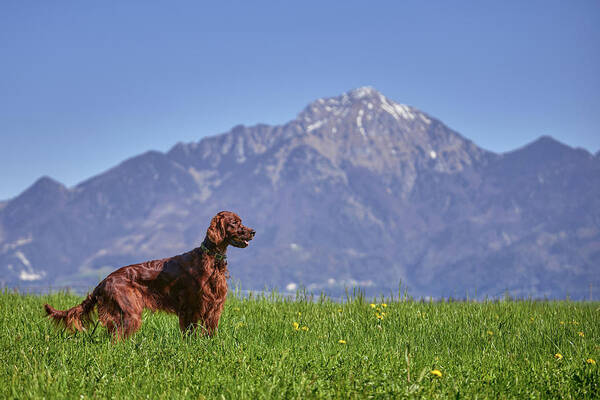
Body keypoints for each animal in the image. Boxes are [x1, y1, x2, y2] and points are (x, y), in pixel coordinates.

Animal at [44, 211, 255, 340]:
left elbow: (210, 333)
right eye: (234, 223)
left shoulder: (214, 307)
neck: (211, 259)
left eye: (242, 221)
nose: (253, 231)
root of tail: (104, 281)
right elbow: (191, 333)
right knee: (115, 339)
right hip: (130, 312)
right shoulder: (192, 307)